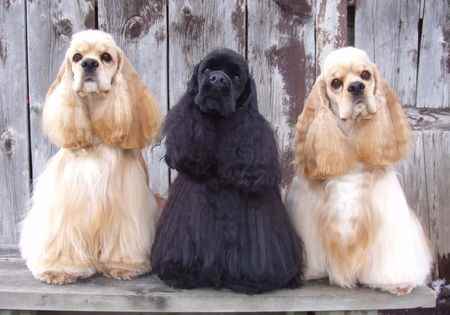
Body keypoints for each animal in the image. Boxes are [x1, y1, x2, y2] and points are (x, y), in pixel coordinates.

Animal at [20, 30, 163, 286]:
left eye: (106, 57)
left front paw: (124, 266)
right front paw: (59, 270)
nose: (88, 63)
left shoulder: (128, 202)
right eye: (77, 57)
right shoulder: (66, 205)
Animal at [150, 48, 302, 296]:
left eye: (237, 76)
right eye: (207, 69)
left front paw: (250, 280)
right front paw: (180, 274)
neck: (219, 127)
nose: (218, 80)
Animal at [286, 47, 430, 296]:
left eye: (365, 75)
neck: (351, 139)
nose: (356, 87)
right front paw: (309, 272)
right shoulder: (307, 209)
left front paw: (396, 283)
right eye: (335, 83)